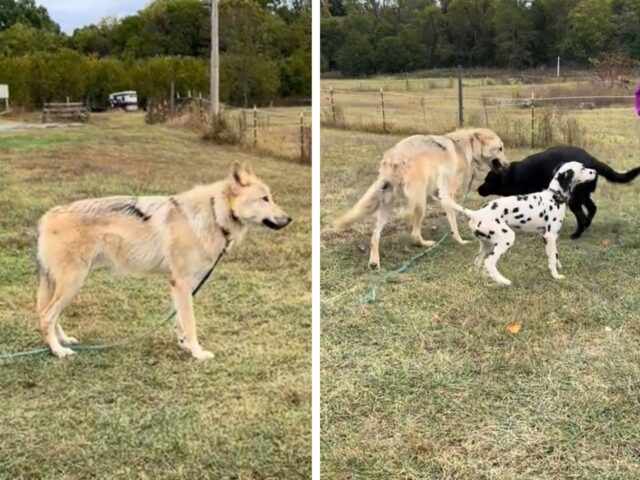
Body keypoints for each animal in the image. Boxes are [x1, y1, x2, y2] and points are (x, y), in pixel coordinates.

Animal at [438, 161, 596, 284]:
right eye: (582, 168)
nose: (594, 171)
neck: (554, 196)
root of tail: (477, 213)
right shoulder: (550, 236)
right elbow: (551, 258)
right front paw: (556, 275)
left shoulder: (548, 236)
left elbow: (555, 254)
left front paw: (558, 267)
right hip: (506, 238)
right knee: (489, 262)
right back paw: (502, 281)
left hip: (486, 244)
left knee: (478, 261)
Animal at [478, 145, 636, 237]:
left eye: (486, 180)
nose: (477, 189)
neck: (511, 175)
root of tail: (593, 161)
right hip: (582, 195)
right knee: (592, 209)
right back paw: (586, 226)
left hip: (574, 199)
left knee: (582, 216)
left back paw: (576, 234)